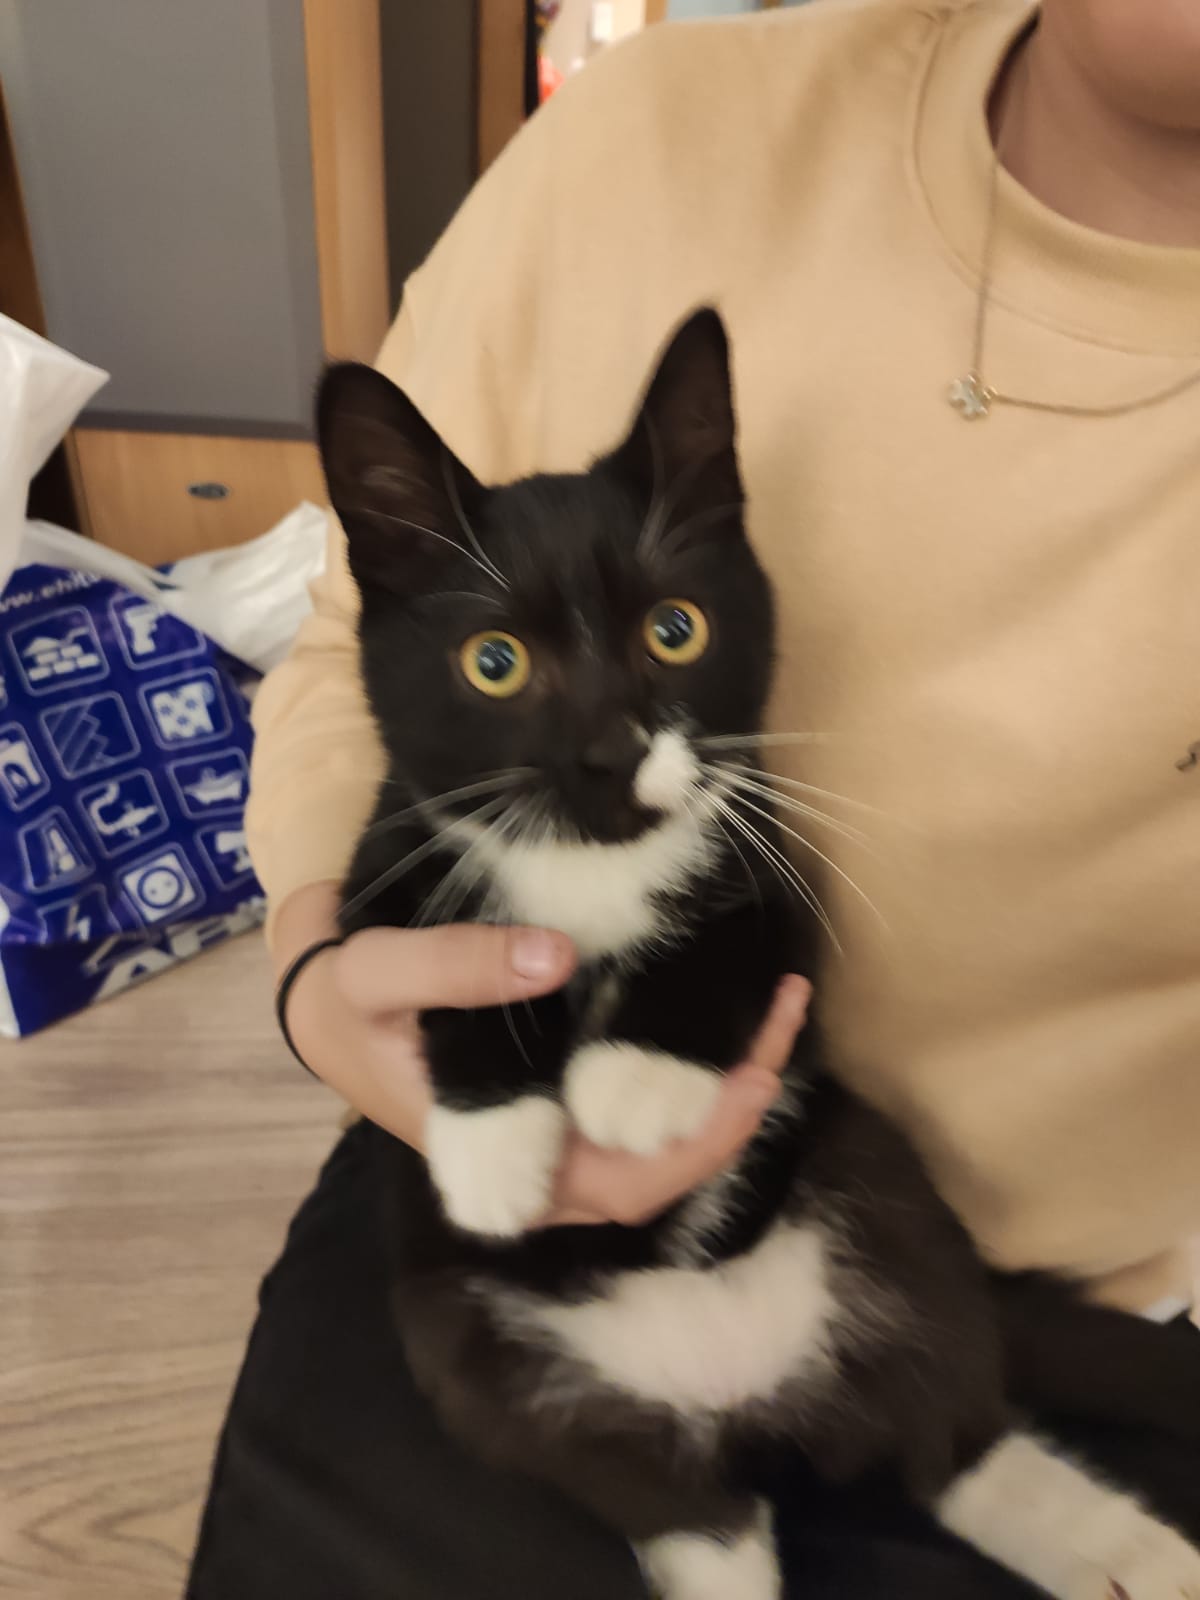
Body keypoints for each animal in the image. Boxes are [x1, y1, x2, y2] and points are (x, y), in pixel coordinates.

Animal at [319, 309, 1200, 1600]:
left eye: (673, 631)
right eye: (495, 662)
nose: (611, 750)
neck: (592, 861)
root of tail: (739, 1388)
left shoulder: (783, 860)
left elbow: (735, 943)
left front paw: (634, 1084)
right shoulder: (379, 865)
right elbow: (443, 947)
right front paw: (491, 1144)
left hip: (876, 1189)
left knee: (953, 1431)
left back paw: (1115, 1546)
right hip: (477, 1350)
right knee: (688, 1507)